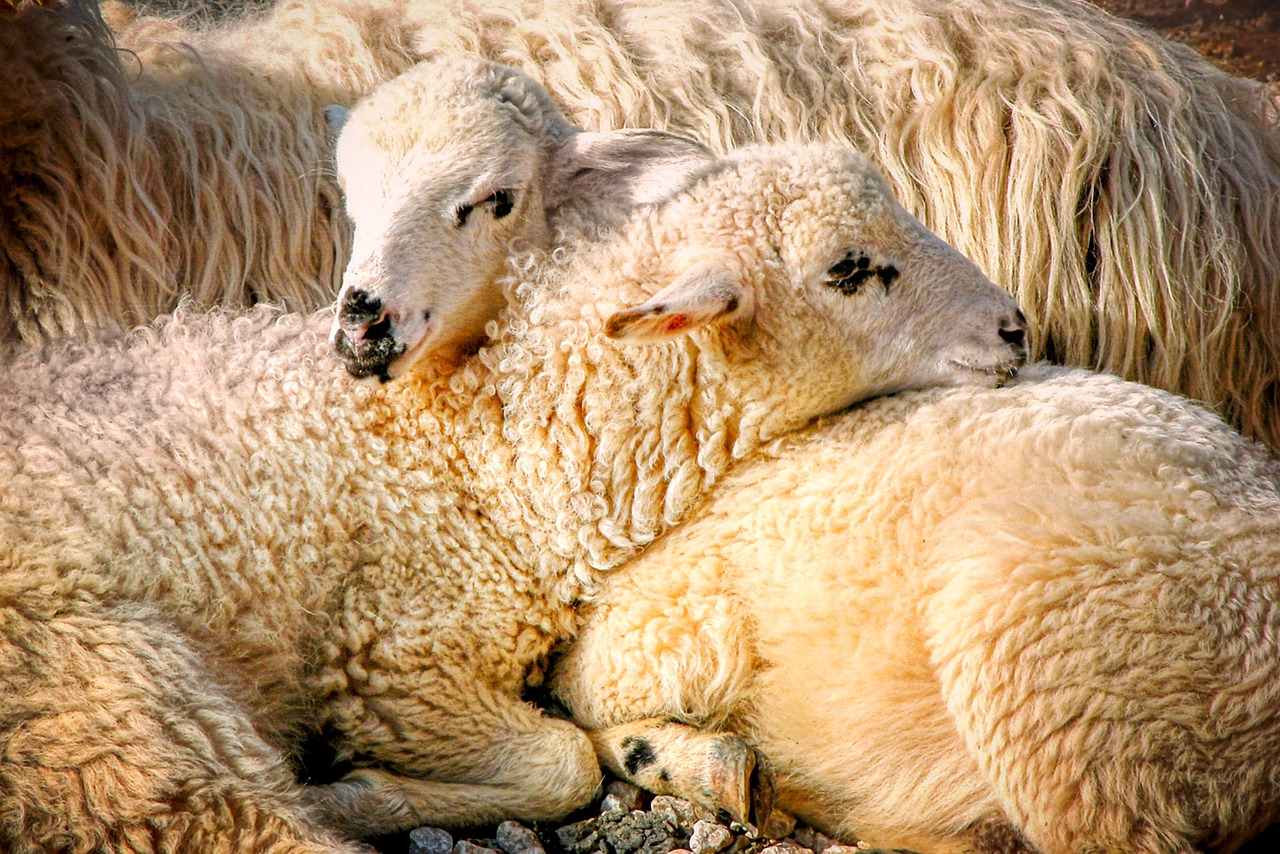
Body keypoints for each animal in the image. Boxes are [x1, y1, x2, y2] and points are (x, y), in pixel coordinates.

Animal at [0, 141, 1026, 851]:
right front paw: (360, 789)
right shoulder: (398, 661)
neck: (483, 454)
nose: (1015, 328)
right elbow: (561, 764)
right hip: (108, 701)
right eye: (849, 271)